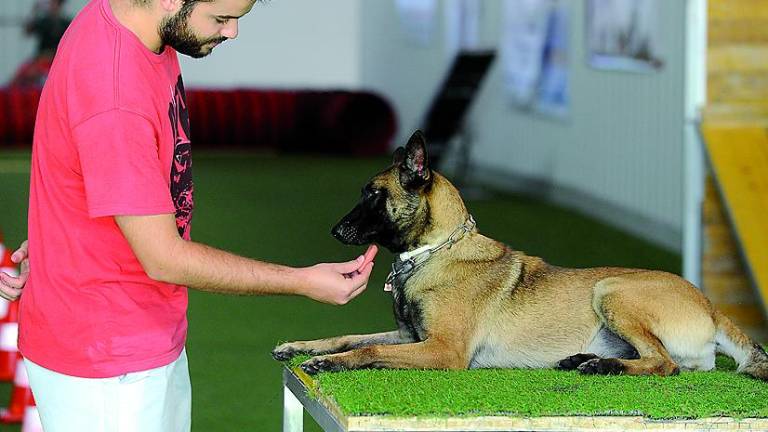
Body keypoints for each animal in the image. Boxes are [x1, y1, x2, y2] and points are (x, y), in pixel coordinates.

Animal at [272, 130, 768, 380]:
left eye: (374, 196)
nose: (336, 230)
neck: (436, 254)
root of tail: (711, 306)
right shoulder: (412, 338)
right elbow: (350, 336)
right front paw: (303, 347)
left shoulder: (443, 350)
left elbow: (366, 350)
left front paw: (328, 363)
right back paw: (583, 360)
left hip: (611, 290)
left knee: (666, 364)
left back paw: (602, 366)